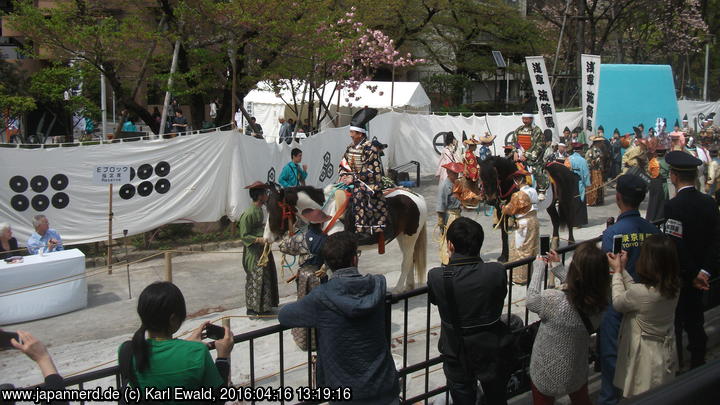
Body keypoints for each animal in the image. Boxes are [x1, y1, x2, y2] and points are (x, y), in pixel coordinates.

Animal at [262, 182, 428, 290]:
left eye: (275, 209)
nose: (266, 237)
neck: (328, 212)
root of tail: (416, 196)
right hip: (402, 236)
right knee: (410, 259)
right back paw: (409, 286)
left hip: (410, 236)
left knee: (406, 261)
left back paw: (398, 289)